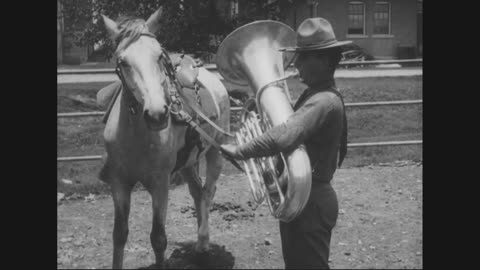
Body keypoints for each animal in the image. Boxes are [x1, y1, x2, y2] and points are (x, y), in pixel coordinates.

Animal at [98, 7, 231, 268]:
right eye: (122, 61)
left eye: (159, 56)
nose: (157, 113)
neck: (136, 137)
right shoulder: (119, 182)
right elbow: (119, 235)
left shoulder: (160, 183)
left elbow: (158, 238)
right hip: (188, 162)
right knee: (198, 192)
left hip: (214, 152)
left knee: (209, 191)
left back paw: (203, 241)